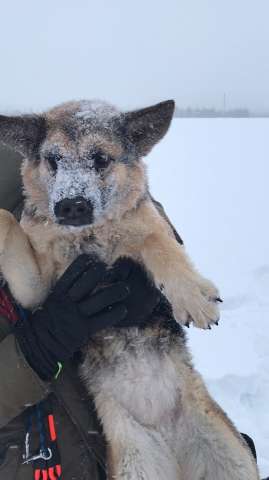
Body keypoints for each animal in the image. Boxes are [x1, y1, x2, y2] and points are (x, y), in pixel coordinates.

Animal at [0, 99, 260, 478]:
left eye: (100, 159)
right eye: (53, 159)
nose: (70, 206)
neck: (87, 237)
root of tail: (167, 434)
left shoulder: (148, 227)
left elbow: (157, 242)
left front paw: (191, 294)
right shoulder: (39, 290)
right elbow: (6, 219)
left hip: (233, 458)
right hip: (134, 460)